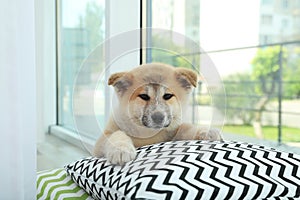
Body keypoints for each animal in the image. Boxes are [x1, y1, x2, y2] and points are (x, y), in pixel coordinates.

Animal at [94, 63, 223, 165]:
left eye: (167, 96)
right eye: (144, 96)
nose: (158, 117)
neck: (149, 134)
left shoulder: (173, 133)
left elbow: (185, 127)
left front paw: (206, 131)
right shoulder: (101, 142)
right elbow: (117, 134)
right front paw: (121, 149)